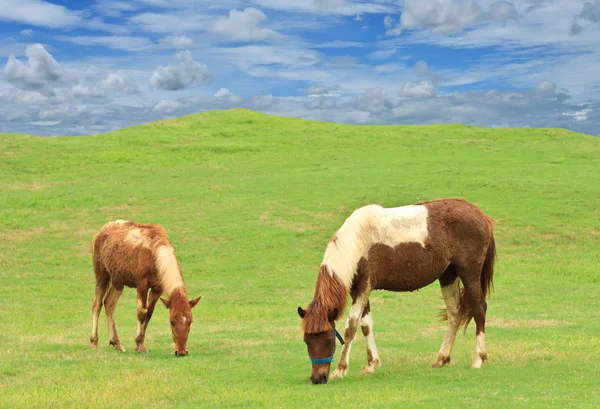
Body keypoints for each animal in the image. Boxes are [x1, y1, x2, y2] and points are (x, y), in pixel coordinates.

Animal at [89, 218, 202, 356]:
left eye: (190, 321)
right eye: (171, 321)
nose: (181, 352)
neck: (155, 255)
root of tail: (101, 230)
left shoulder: (157, 288)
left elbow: (149, 313)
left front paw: (140, 343)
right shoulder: (142, 284)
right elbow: (142, 312)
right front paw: (140, 345)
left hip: (118, 281)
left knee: (109, 304)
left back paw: (116, 343)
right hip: (102, 275)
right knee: (97, 304)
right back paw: (94, 342)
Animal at [296, 198, 496, 382]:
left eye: (329, 340)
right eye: (306, 340)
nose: (317, 378)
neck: (358, 241)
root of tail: (481, 216)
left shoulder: (364, 287)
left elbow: (351, 327)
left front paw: (340, 369)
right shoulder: (358, 290)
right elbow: (366, 325)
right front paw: (371, 364)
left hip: (469, 274)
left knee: (479, 309)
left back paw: (478, 359)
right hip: (448, 276)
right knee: (454, 313)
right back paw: (441, 358)